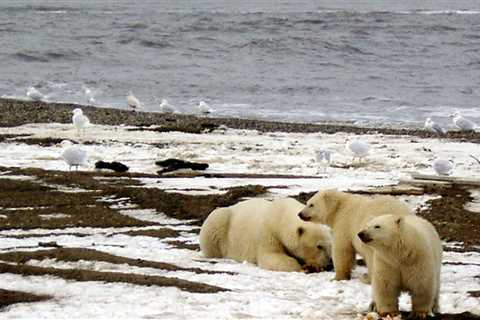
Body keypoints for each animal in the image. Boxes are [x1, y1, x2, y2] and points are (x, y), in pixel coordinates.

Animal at [200, 198, 334, 272]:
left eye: (330, 246)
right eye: (319, 246)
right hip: (221, 221)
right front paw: (303, 267)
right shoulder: (268, 232)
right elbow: (271, 256)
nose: (329, 264)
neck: (280, 216)